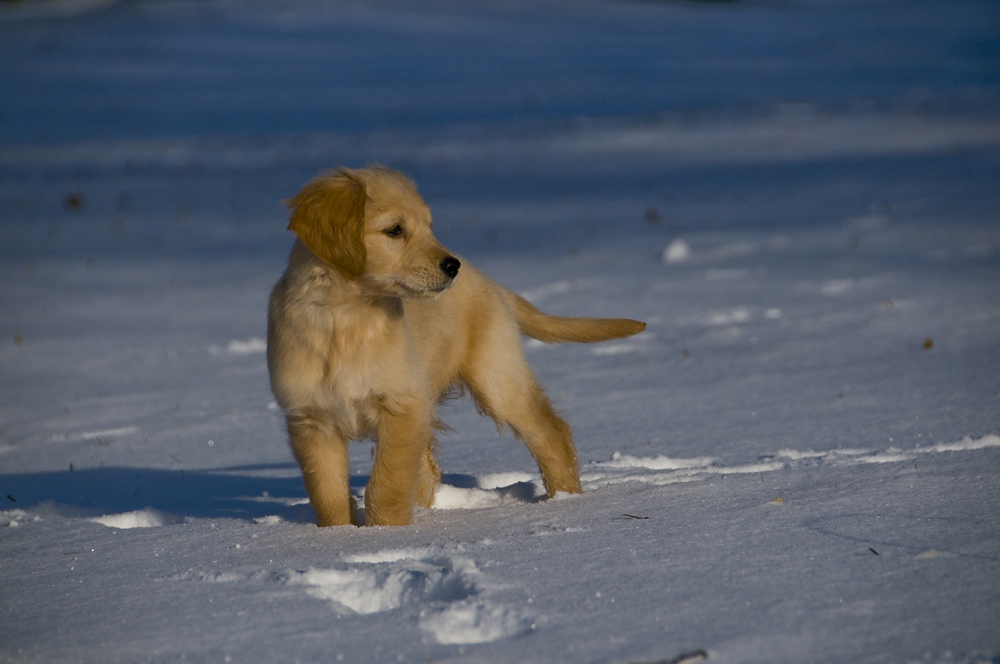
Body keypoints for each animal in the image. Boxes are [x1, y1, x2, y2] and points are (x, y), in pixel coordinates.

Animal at [266, 165, 644, 524]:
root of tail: (489, 282)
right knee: (428, 470)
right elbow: (328, 495)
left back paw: (566, 501)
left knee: (552, 432)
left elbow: (386, 486)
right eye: (394, 230)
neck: (343, 320)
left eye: (429, 226)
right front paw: (340, 537)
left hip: (496, 375)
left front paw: (383, 532)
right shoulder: (311, 420)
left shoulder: (402, 406)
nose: (453, 265)